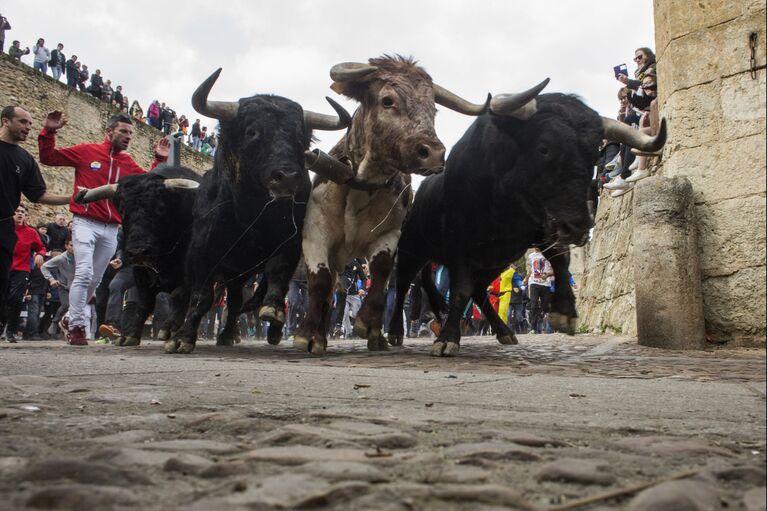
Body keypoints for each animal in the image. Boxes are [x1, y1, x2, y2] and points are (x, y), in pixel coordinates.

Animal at [294, 54, 544, 354]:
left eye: (433, 109)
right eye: (387, 100)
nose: (433, 153)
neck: (360, 188)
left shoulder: (390, 236)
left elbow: (380, 274)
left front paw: (367, 324)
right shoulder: (315, 236)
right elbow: (320, 283)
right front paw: (306, 335)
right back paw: (326, 335)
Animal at [388, 94, 668, 356]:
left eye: (593, 153)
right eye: (544, 148)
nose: (578, 226)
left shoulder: (540, 229)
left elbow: (560, 260)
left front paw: (565, 312)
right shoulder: (458, 242)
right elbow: (459, 290)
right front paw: (447, 339)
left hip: (495, 261)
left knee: (478, 290)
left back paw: (504, 331)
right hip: (412, 250)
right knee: (402, 285)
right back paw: (395, 332)